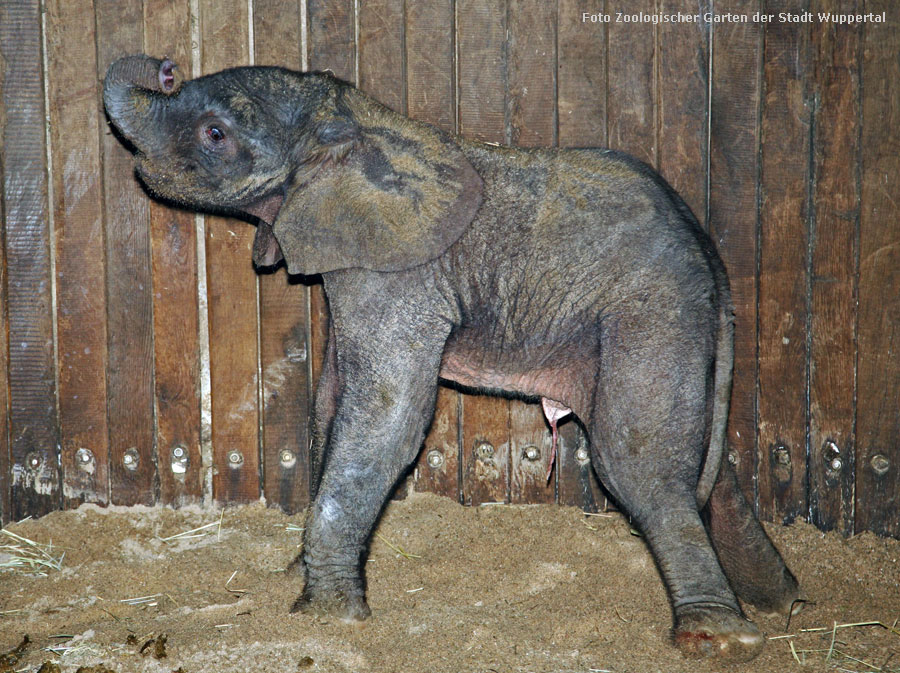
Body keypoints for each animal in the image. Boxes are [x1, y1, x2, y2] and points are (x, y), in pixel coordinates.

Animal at [103, 53, 800, 660]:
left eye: (214, 133)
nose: (166, 65)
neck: (352, 120)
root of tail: (709, 254)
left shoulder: (403, 277)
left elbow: (386, 421)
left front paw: (329, 617)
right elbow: (331, 406)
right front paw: (296, 576)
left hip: (651, 308)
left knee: (638, 457)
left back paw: (721, 639)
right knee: (707, 464)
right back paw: (781, 602)